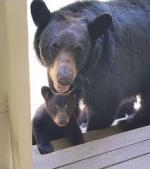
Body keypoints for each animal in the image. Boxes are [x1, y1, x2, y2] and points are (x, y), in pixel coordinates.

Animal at [30, 0, 150, 131]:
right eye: (54, 46)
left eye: (79, 50)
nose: (64, 79)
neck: (83, 70)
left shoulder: (106, 68)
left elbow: (103, 106)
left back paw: (129, 122)